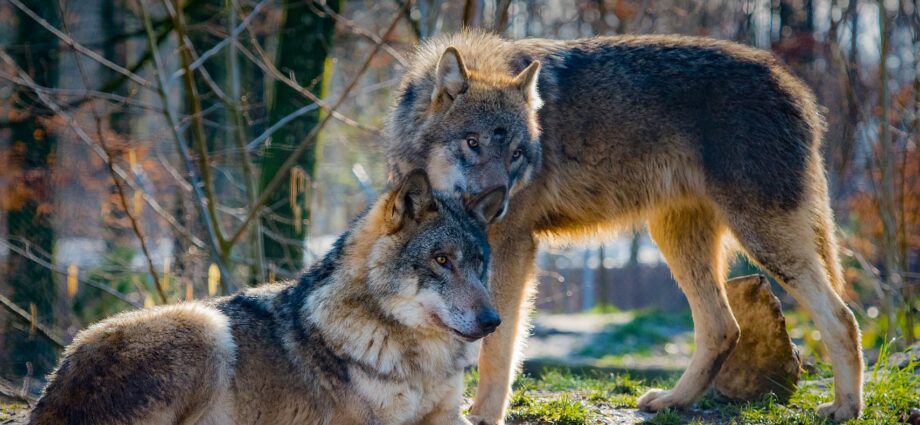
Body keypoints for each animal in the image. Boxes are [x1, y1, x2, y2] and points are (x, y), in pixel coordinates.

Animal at [32, 170, 510, 424]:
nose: (493, 322)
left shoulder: (447, 414)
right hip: (204, 324)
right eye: (441, 260)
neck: (415, 361)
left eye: (478, 262)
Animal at [386, 31, 864, 422]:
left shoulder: (512, 246)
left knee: (841, 317)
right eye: (473, 143)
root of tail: (796, 86)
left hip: (762, 239)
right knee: (723, 327)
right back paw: (673, 402)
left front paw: (485, 415)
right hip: (678, 240)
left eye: (517, 154)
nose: (498, 205)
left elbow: (497, 345)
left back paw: (844, 407)